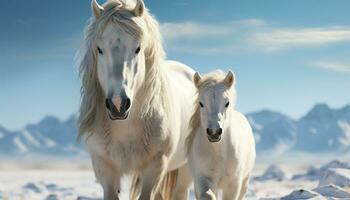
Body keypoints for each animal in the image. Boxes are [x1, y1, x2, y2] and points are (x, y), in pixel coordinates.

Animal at [77, 0, 196, 199]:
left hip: (185, 168)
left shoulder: (154, 167)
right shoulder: (104, 168)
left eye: (138, 48)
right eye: (99, 49)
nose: (118, 104)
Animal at [187, 70, 256, 200]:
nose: (214, 132)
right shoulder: (203, 178)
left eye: (227, 103)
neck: (219, 153)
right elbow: (208, 195)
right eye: (201, 103)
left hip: (245, 181)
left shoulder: (233, 183)